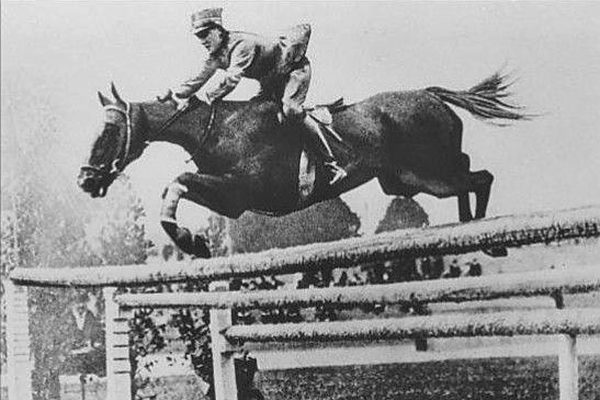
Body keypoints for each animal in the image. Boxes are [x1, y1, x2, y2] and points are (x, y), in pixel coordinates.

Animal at [77, 72, 528, 258]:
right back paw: (471, 228)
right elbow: (179, 184)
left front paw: (191, 242)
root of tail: (430, 94)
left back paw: (488, 236)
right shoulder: (232, 201)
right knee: (469, 173)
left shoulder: (241, 190)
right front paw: (194, 240)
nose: (84, 180)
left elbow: (179, 179)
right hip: (404, 181)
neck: (220, 127)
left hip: (429, 173)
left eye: (108, 132)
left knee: (479, 177)